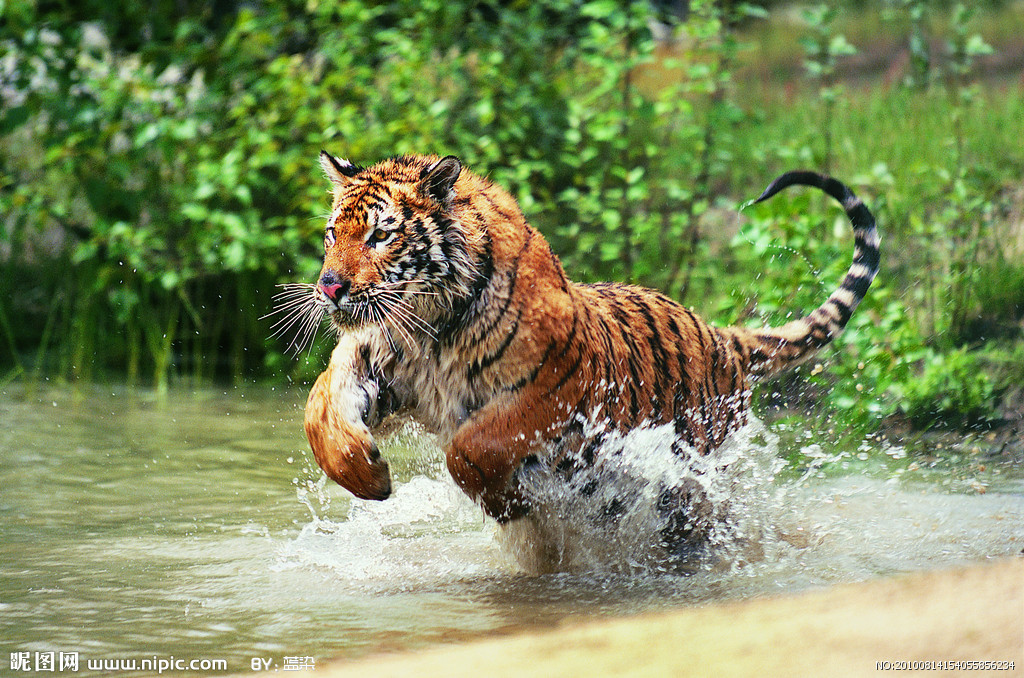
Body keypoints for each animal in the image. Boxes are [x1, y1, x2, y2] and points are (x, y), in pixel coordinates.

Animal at [282, 151, 880, 561]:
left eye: (381, 236)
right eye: (333, 233)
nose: (329, 287)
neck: (429, 327)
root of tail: (720, 335)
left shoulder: (554, 387)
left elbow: (472, 447)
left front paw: (509, 504)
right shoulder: (372, 360)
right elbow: (320, 412)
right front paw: (369, 477)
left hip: (694, 489)